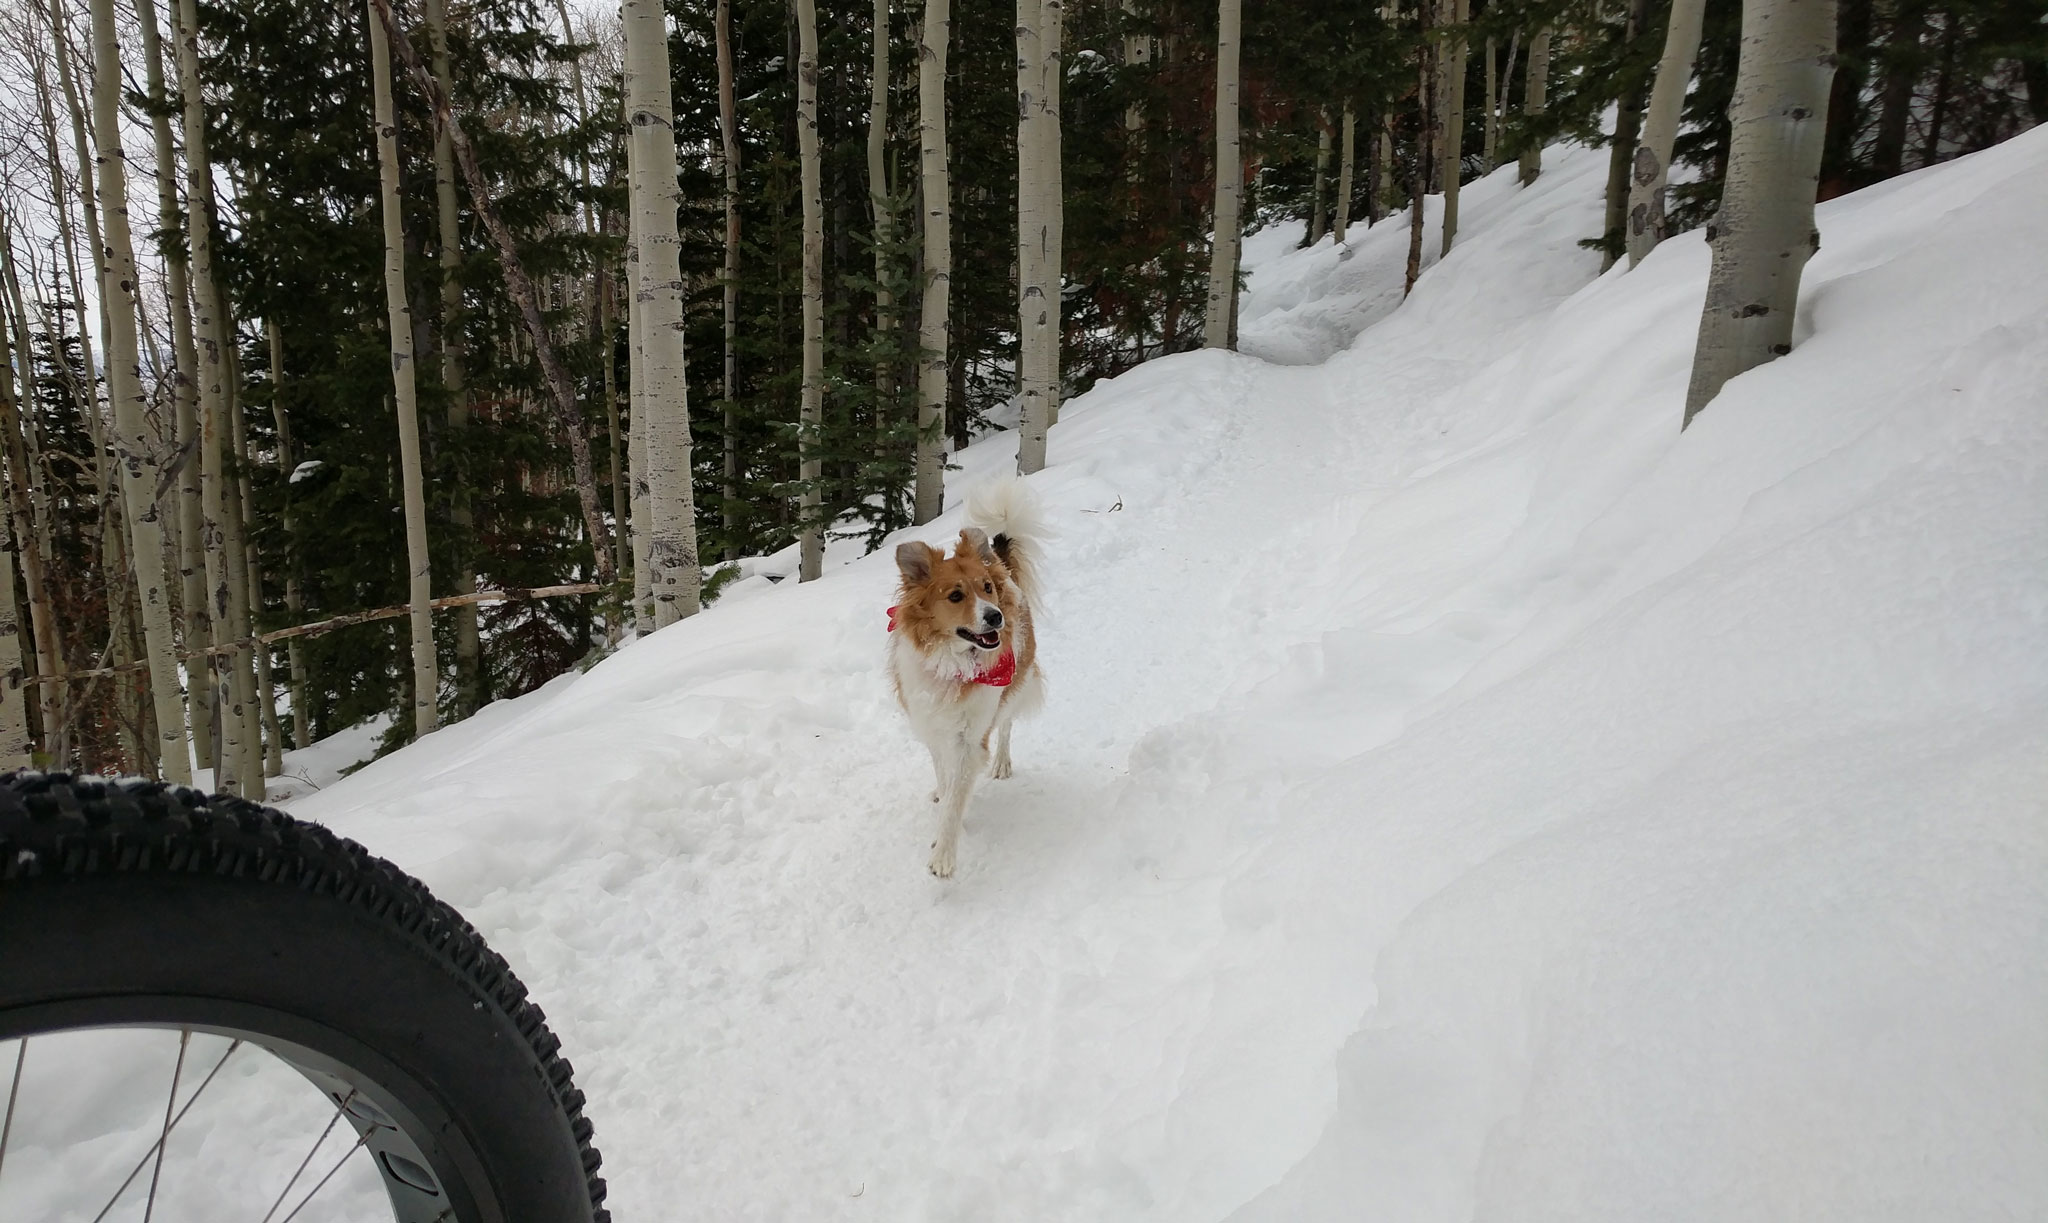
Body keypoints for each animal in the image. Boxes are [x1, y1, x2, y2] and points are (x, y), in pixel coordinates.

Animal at [888, 479, 1048, 876]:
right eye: (956, 595)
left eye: (986, 587)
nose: (995, 617)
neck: (954, 665)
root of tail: (1000, 560)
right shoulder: (932, 726)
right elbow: (945, 779)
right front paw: (943, 800)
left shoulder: (968, 738)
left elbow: (957, 792)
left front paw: (944, 852)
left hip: (1017, 683)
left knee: (1006, 724)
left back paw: (1002, 762)